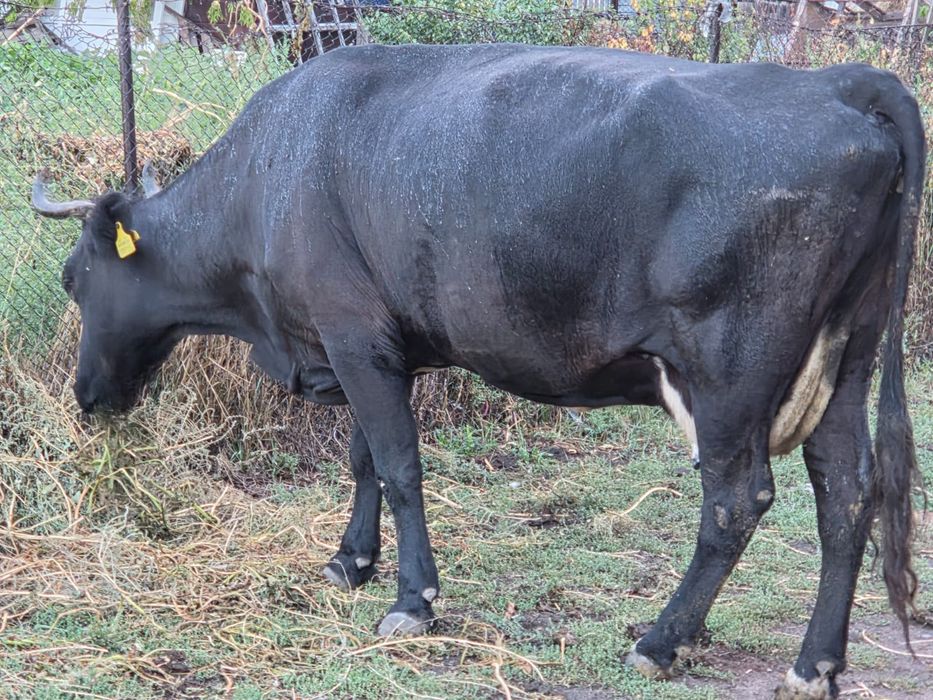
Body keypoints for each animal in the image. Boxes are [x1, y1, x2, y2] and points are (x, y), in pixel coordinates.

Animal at [32, 44, 925, 699]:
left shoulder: (354, 336)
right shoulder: (371, 344)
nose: (86, 397)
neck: (268, 178)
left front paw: (411, 601)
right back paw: (814, 665)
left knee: (737, 501)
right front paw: (351, 562)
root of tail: (838, 82)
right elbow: (362, 458)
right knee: (847, 492)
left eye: (75, 279)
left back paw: (661, 639)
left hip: (729, 368)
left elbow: (398, 466)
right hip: (843, 358)